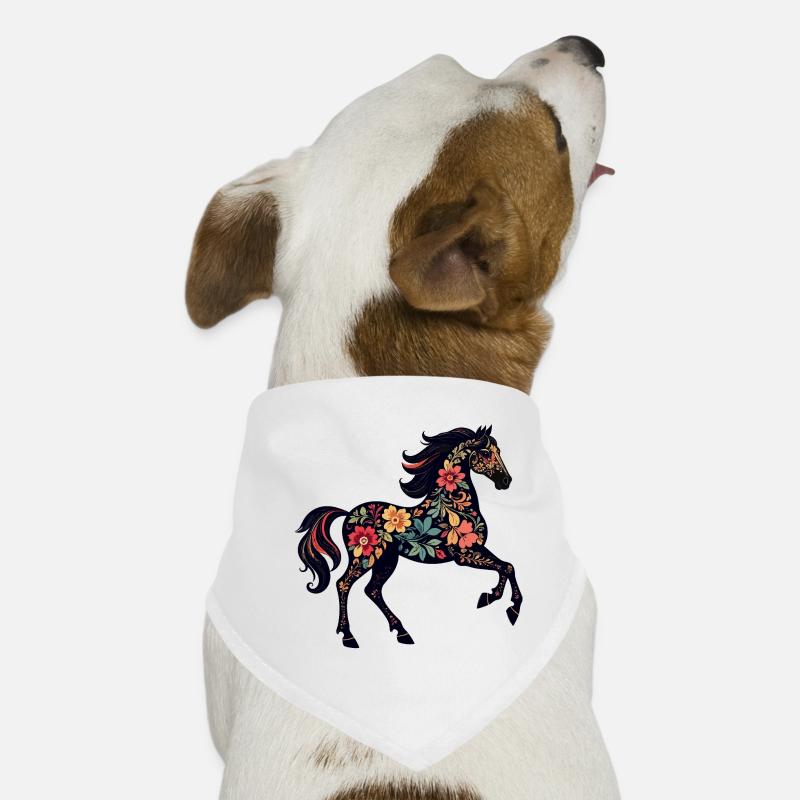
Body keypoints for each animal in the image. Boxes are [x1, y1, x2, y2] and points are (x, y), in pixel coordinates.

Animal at [295, 425, 521, 648]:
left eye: (499, 451)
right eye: (486, 453)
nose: (506, 481)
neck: (453, 506)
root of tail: (347, 513)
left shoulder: (474, 551)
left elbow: (506, 566)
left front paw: (491, 597)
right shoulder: (465, 553)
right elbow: (507, 566)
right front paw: (511, 608)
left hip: (386, 561)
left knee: (372, 590)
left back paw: (402, 632)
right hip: (364, 558)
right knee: (343, 584)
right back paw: (348, 636)